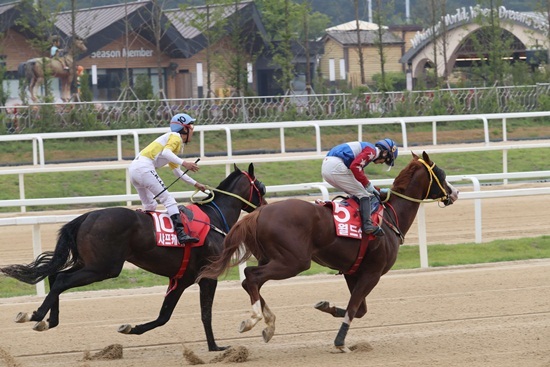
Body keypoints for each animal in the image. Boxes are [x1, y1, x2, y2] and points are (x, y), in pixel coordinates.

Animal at [0, 165, 268, 354]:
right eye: (261, 187)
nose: (264, 207)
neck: (213, 219)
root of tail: (87, 216)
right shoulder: (207, 276)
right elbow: (205, 313)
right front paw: (215, 347)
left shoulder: (181, 279)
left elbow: (164, 316)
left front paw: (132, 328)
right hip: (104, 267)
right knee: (62, 281)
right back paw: (37, 315)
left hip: (90, 263)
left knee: (57, 275)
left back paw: (49, 320)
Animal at [202, 152, 462, 354]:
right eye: (441, 173)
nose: (455, 192)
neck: (390, 217)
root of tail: (258, 213)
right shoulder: (373, 273)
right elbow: (355, 308)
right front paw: (340, 342)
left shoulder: (352, 271)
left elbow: (358, 309)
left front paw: (325, 306)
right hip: (294, 261)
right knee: (252, 276)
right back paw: (254, 319)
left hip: (273, 258)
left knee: (251, 281)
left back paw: (269, 324)